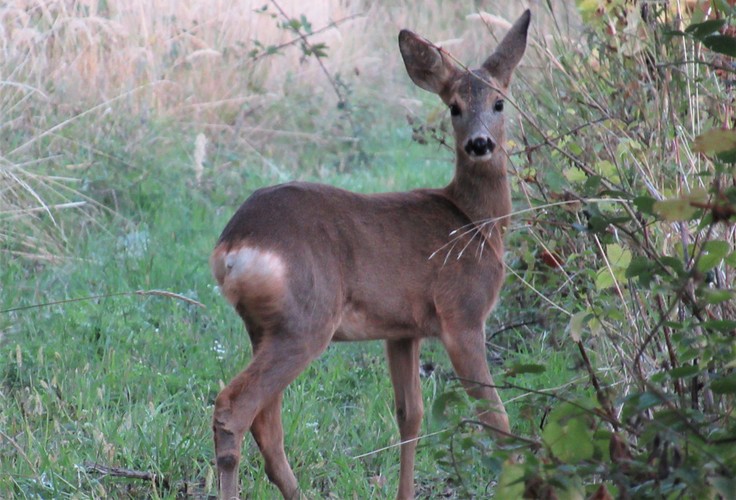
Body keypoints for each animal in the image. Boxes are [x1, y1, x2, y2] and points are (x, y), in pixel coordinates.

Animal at [210, 8, 532, 500]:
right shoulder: (462, 314)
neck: (476, 225)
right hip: (305, 321)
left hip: (264, 327)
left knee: (267, 424)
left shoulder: (402, 330)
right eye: (453, 106)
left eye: (500, 102)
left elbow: (409, 416)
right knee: (233, 408)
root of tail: (233, 244)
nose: (480, 144)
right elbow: (497, 419)